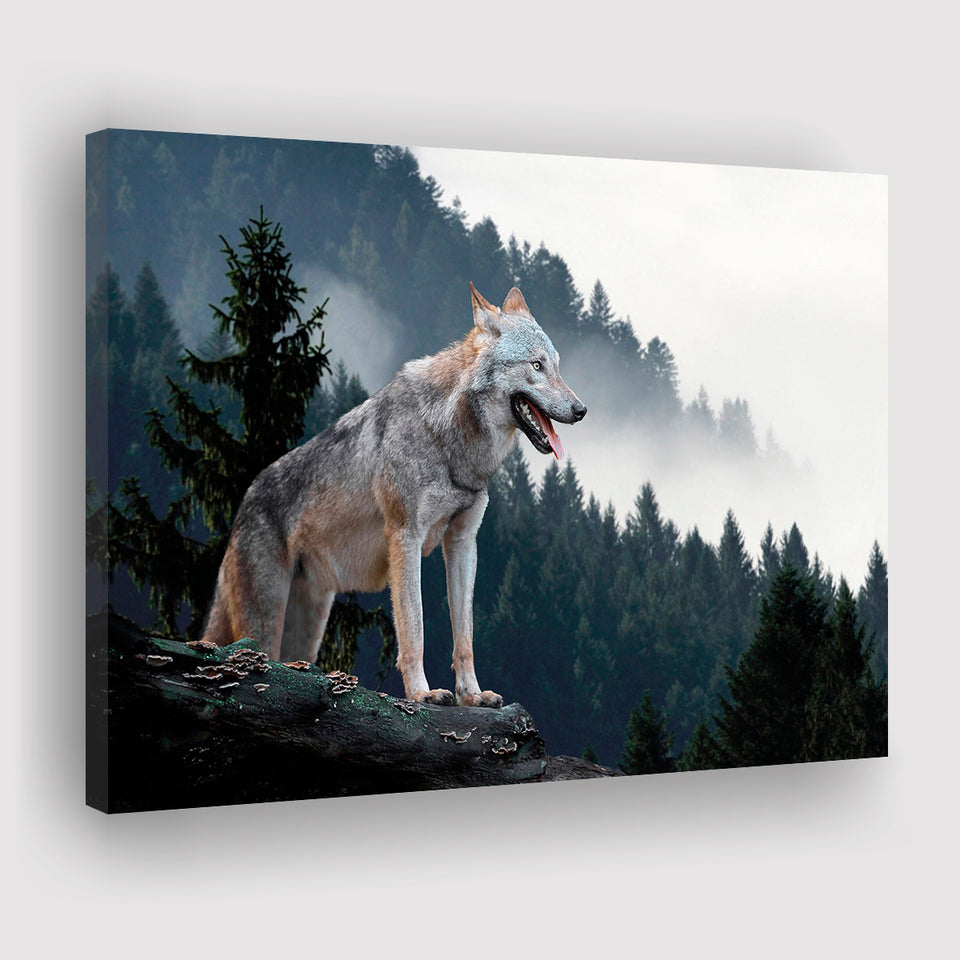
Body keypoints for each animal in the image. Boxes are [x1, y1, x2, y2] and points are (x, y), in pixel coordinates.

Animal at [202, 283, 587, 706]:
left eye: (556, 365)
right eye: (536, 365)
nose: (581, 409)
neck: (450, 439)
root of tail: (244, 503)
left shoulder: (463, 543)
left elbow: (464, 636)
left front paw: (472, 695)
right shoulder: (405, 537)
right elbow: (414, 629)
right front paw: (421, 693)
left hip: (307, 630)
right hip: (265, 623)